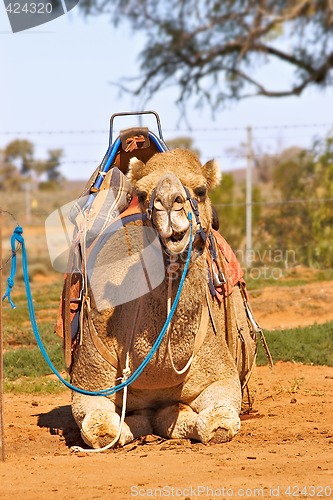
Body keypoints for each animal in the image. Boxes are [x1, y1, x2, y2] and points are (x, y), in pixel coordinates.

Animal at [68, 148, 258, 450]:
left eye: (201, 190)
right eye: (143, 194)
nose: (168, 201)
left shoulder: (221, 378)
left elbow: (217, 424)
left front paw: (175, 416)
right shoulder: (89, 385)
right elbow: (103, 431)